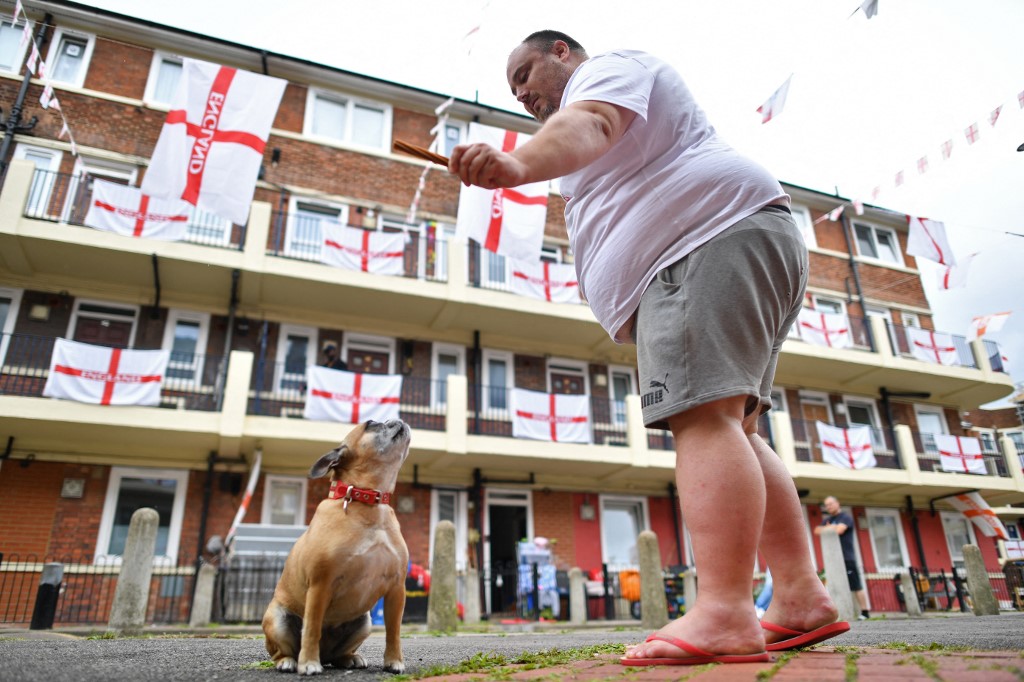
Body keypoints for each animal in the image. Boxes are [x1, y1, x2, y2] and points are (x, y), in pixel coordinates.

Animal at [262, 417, 409, 671]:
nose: (396, 418)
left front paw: (394, 661)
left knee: (340, 653)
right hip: (278, 618)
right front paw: (309, 664)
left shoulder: (396, 589)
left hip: (364, 622)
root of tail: (326, 655)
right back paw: (290, 661)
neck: (368, 500)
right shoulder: (321, 585)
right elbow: (311, 629)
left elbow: (394, 632)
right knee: (282, 650)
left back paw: (350, 658)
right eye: (371, 424)